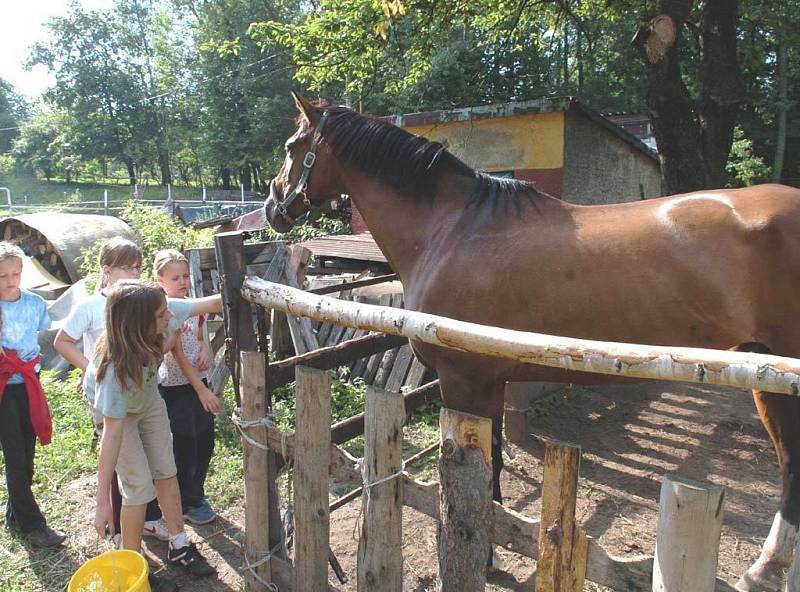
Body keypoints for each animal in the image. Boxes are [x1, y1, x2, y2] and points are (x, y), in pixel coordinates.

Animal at [268, 90, 800, 588]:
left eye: (293, 147)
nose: (272, 205)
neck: (452, 229)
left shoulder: (463, 381)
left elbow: (477, 468)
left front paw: (483, 555)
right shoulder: (491, 380)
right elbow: (494, 461)